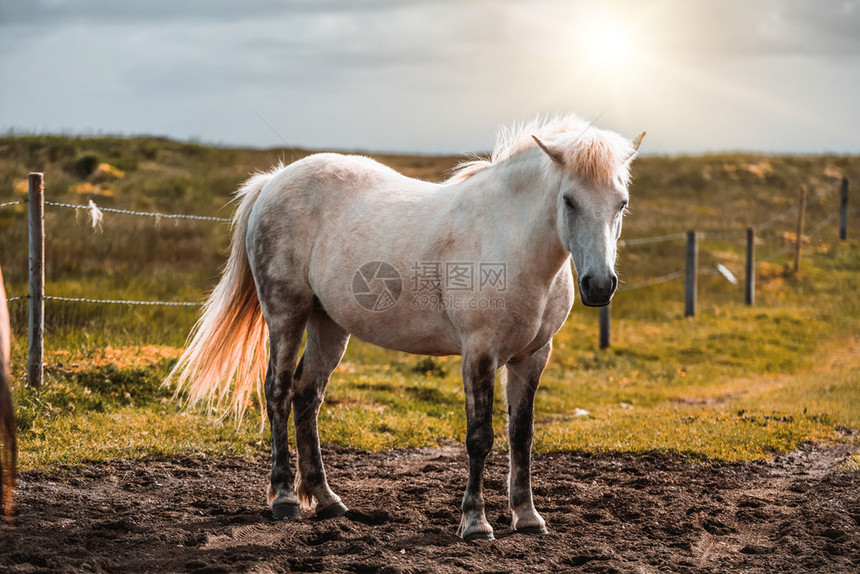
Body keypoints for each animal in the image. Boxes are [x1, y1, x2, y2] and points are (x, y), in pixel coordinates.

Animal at [168, 115, 640, 544]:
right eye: (569, 200)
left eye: (621, 202)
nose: (599, 285)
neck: (510, 241)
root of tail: (274, 180)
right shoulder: (479, 354)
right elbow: (480, 438)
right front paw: (475, 523)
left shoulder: (533, 356)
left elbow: (521, 436)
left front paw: (527, 517)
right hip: (287, 315)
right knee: (278, 392)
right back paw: (285, 499)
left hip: (328, 325)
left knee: (307, 396)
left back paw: (326, 500)